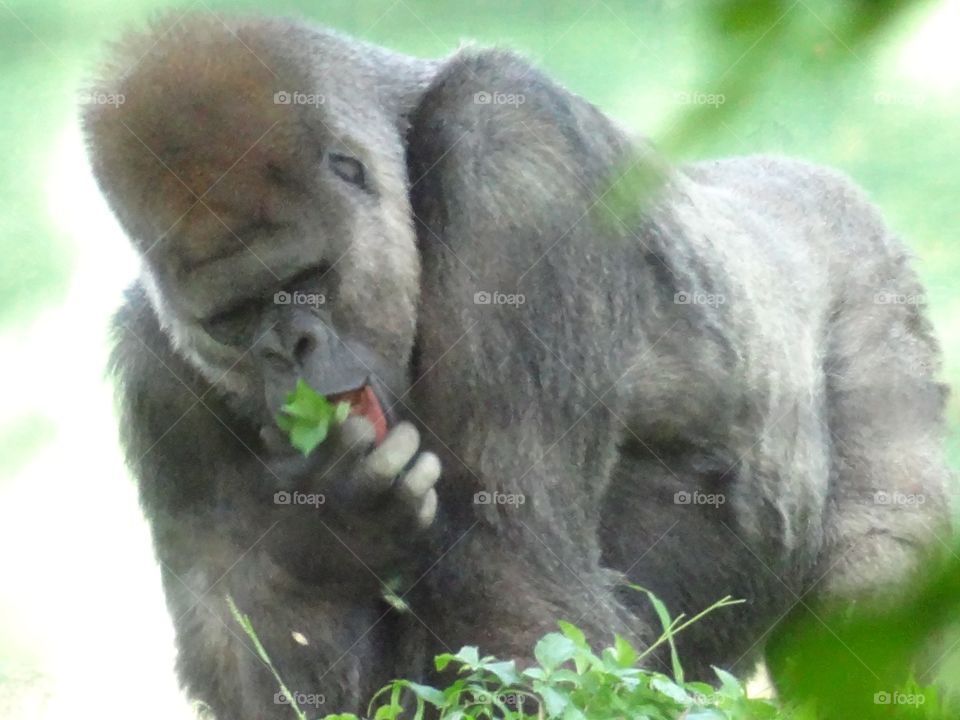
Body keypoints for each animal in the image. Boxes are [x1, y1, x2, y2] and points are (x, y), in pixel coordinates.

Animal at [83, 13, 951, 719]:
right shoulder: (156, 372)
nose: (289, 351)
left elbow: (520, 597)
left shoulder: (510, 159)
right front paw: (326, 542)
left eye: (308, 279)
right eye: (233, 318)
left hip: (870, 275)